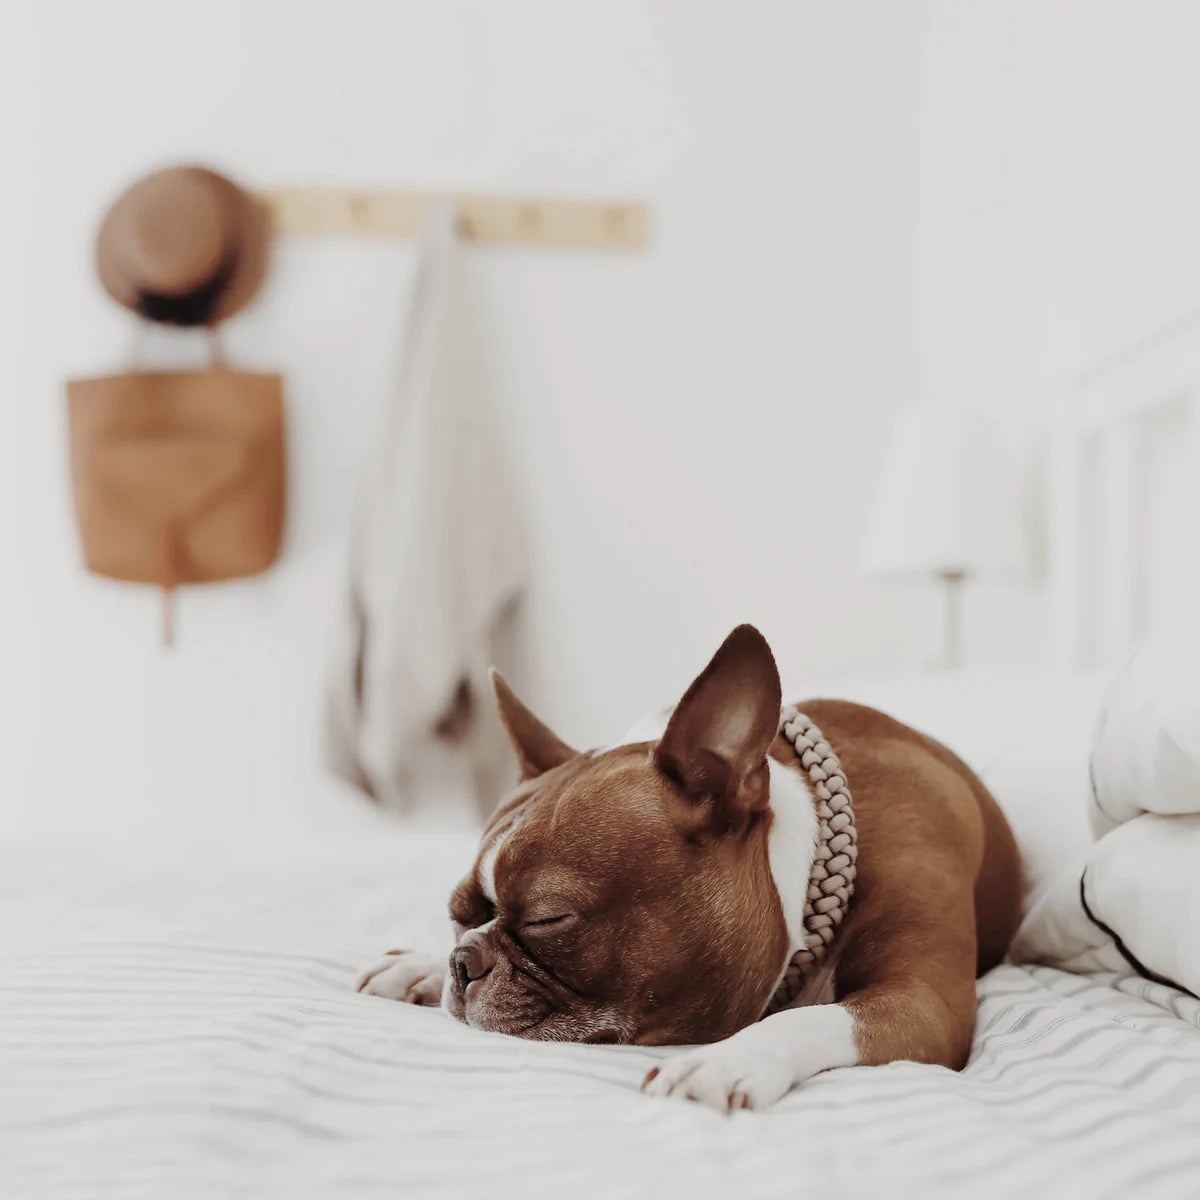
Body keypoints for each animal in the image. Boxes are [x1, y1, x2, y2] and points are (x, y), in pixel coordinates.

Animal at [355, 624, 1022, 1108]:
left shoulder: (924, 1003)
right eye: (457, 915)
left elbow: (817, 1019)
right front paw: (420, 961)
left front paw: (727, 1058)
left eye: (549, 920)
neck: (808, 870)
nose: (461, 961)